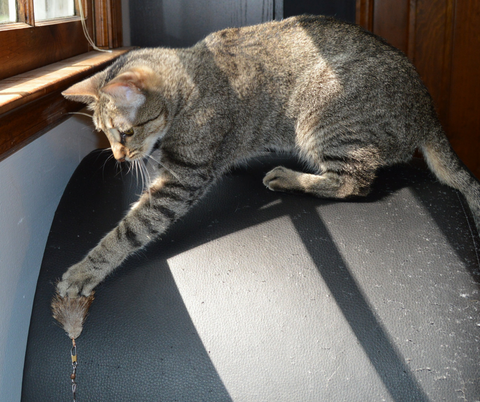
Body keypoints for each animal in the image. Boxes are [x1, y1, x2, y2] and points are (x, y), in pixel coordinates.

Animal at [59, 15, 480, 298]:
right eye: (104, 135)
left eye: (125, 132)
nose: (118, 156)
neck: (193, 79)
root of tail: (427, 110)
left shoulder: (182, 179)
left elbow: (130, 229)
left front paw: (85, 271)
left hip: (321, 118)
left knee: (354, 182)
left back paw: (288, 177)